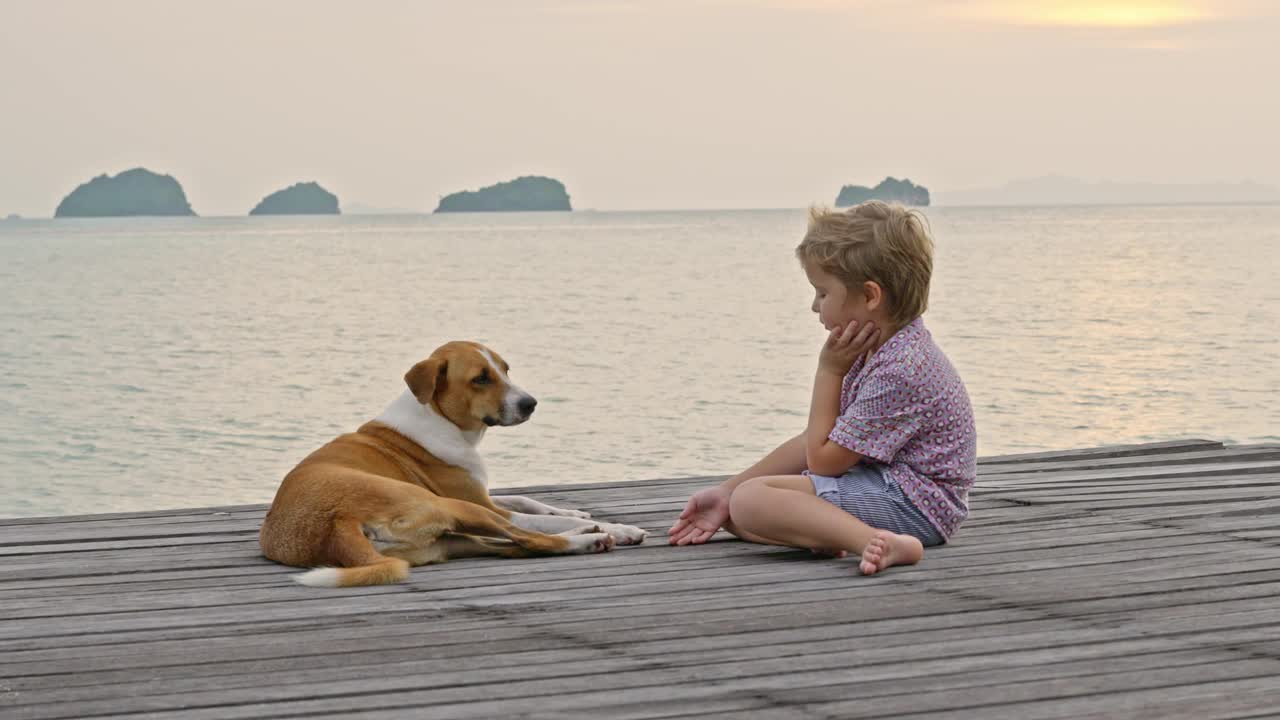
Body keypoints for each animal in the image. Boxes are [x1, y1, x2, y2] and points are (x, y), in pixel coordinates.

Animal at [257, 338, 650, 586]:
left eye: (506, 369)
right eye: (481, 378)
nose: (531, 403)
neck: (438, 416)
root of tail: (335, 525)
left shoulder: (480, 493)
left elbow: (529, 500)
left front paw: (573, 512)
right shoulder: (479, 501)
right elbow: (534, 518)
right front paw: (613, 526)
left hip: (448, 538)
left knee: (518, 545)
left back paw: (586, 535)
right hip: (451, 507)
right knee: (532, 538)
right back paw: (598, 537)